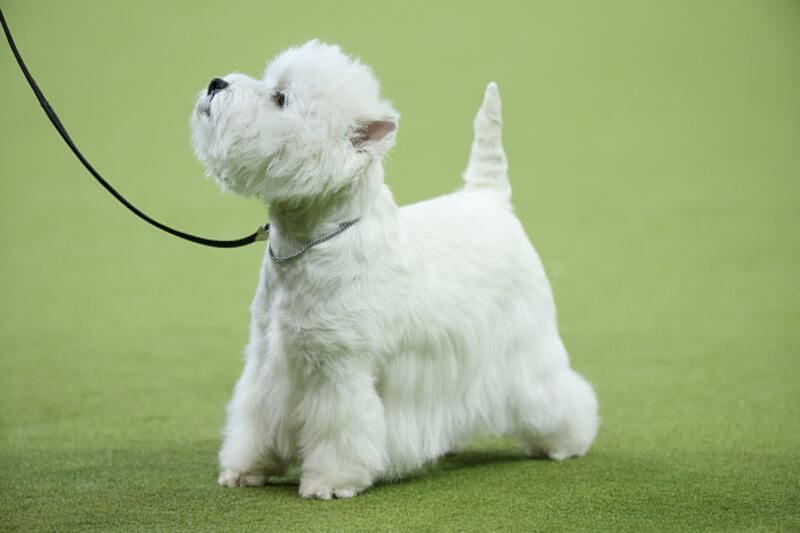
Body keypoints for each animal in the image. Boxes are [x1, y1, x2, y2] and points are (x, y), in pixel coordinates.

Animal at [190, 41, 599, 499]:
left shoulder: (339, 367)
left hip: (528, 348)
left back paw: (566, 442)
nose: (216, 83)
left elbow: (341, 428)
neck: (311, 241)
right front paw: (247, 469)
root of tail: (489, 199)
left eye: (281, 98)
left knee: (558, 392)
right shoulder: (267, 355)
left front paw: (330, 481)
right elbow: (256, 415)